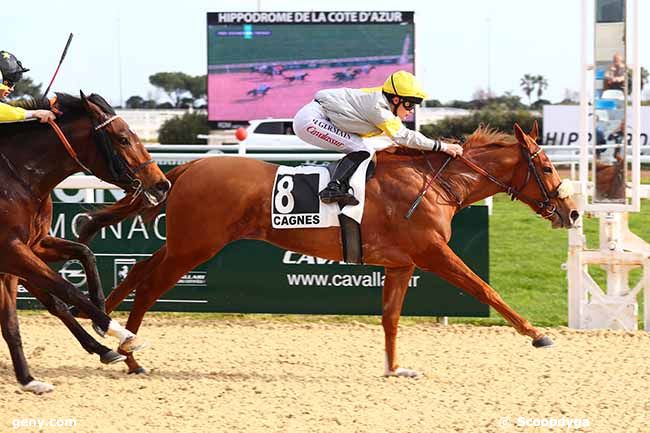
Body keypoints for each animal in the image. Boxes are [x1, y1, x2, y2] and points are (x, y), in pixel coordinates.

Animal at [0, 91, 170, 392]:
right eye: (122, 138)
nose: (162, 184)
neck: (18, 178)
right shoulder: (10, 250)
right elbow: (67, 289)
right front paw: (122, 332)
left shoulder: (32, 245)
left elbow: (84, 253)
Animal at [77, 121, 576, 374]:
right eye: (549, 167)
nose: (571, 213)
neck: (434, 184)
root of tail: (187, 167)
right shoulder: (433, 253)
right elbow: (486, 289)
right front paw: (537, 334)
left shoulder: (401, 264)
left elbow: (391, 319)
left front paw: (395, 368)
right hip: (194, 248)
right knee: (149, 287)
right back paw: (129, 353)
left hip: (184, 244)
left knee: (137, 270)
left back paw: (107, 327)